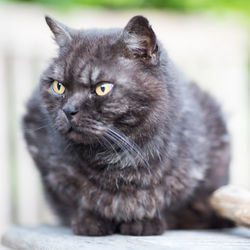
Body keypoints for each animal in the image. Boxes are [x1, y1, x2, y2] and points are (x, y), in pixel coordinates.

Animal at [22, 15, 233, 234]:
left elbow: (167, 202)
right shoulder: (46, 160)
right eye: (58, 86)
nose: (68, 110)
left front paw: (145, 222)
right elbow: (78, 198)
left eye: (102, 88)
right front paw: (90, 221)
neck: (120, 159)